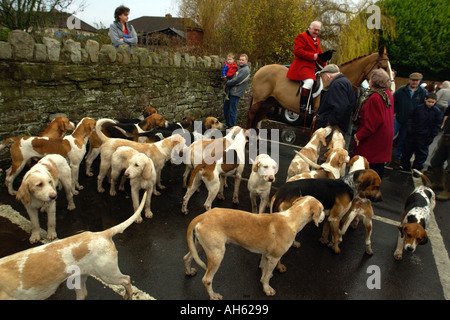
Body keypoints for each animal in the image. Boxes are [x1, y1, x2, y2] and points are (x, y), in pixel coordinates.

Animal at [246, 46, 394, 129]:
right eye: (384, 67)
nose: (391, 88)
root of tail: (261, 68)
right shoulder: (319, 115)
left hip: (269, 101)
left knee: (258, 116)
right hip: (259, 99)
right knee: (252, 115)